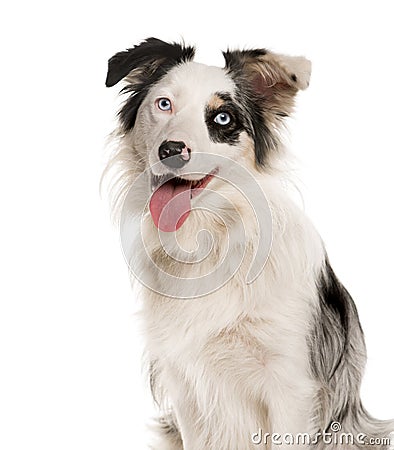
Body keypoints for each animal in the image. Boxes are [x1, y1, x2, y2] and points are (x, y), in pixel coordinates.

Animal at [103, 37, 392, 448]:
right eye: (163, 104)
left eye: (223, 118)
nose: (170, 150)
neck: (212, 237)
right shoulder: (186, 384)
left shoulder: (291, 387)